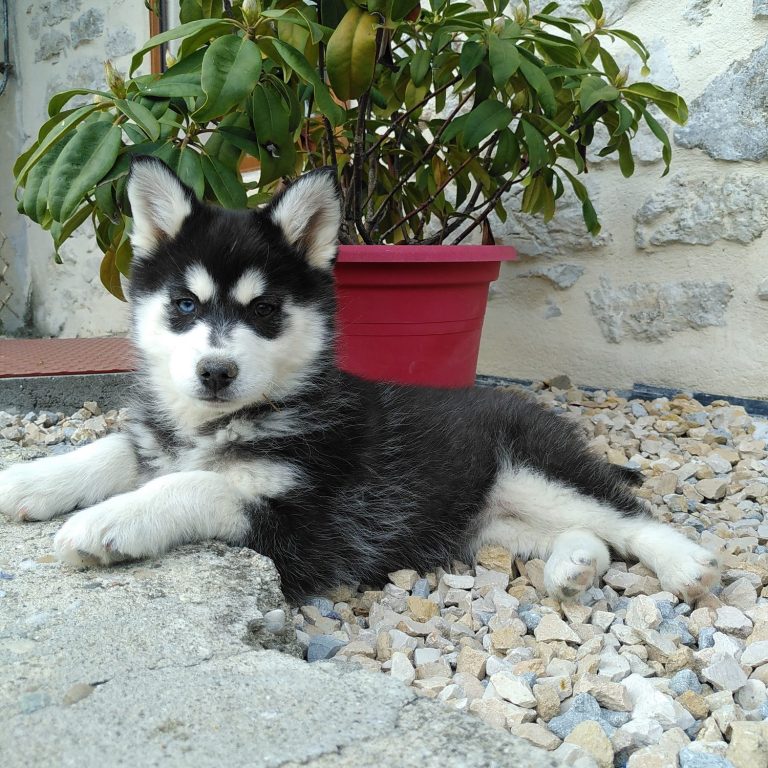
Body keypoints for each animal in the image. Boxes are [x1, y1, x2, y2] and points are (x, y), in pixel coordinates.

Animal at [0, 157, 720, 603]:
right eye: (184, 305)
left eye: (266, 310)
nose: (215, 371)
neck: (227, 420)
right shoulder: (161, 438)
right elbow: (116, 448)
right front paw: (30, 480)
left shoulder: (309, 521)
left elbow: (196, 485)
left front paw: (110, 519)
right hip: (486, 525)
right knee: (589, 535)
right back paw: (575, 565)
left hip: (537, 471)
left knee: (625, 516)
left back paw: (684, 563)